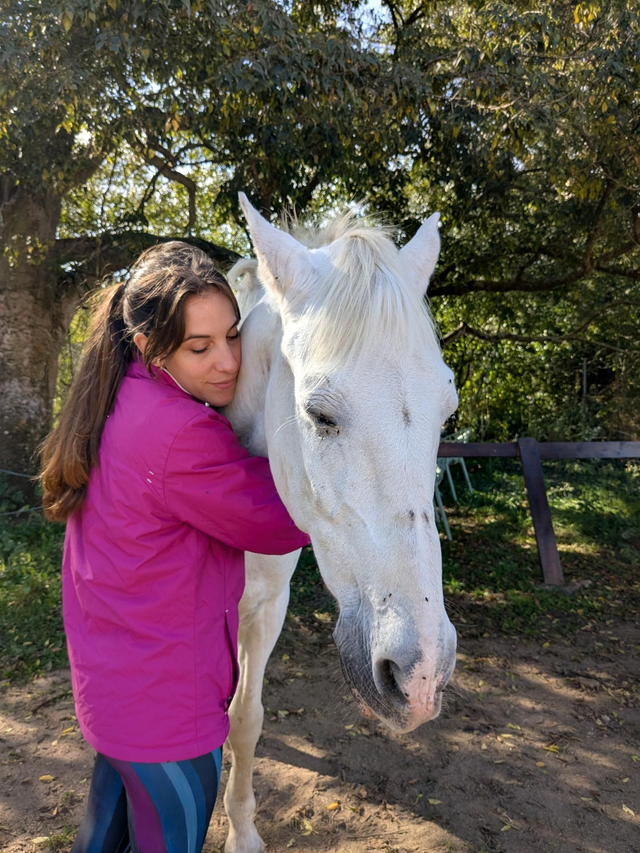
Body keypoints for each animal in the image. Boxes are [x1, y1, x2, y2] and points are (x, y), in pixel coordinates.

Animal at [221, 194, 459, 853]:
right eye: (319, 414)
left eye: (447, 412)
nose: (420, 675)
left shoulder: (265, 607)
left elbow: (244, 718)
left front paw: (241, 829)